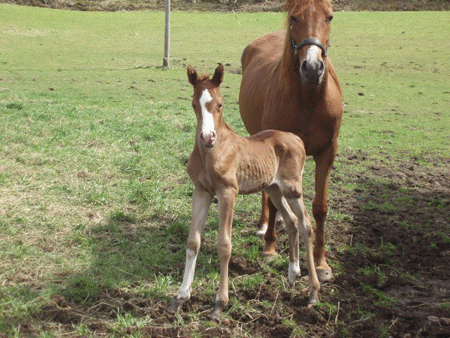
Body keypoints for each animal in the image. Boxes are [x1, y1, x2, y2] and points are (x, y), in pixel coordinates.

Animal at [169, 64, 320, 322]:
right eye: (194, 104)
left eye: (220, 104)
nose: (207, 137)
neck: (211, 153)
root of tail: (297, 138)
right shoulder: (201, 191)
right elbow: (192, 242)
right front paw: (181, 297)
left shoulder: (228, 192)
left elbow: (224, 245)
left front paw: (219, 304)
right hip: (274, 189)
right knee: (291, 221)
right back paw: (292, 274)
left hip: (292, 188)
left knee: (305, 224)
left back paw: (313, 291)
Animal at [241, 0, 342, 282]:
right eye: (295, 18)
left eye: (330, 17)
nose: (312, 68)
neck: (308, 100)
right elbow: (274, 203)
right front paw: (270, 249)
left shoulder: (327, 153)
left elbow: (320, 207)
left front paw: (321, 263)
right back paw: (265, 225)